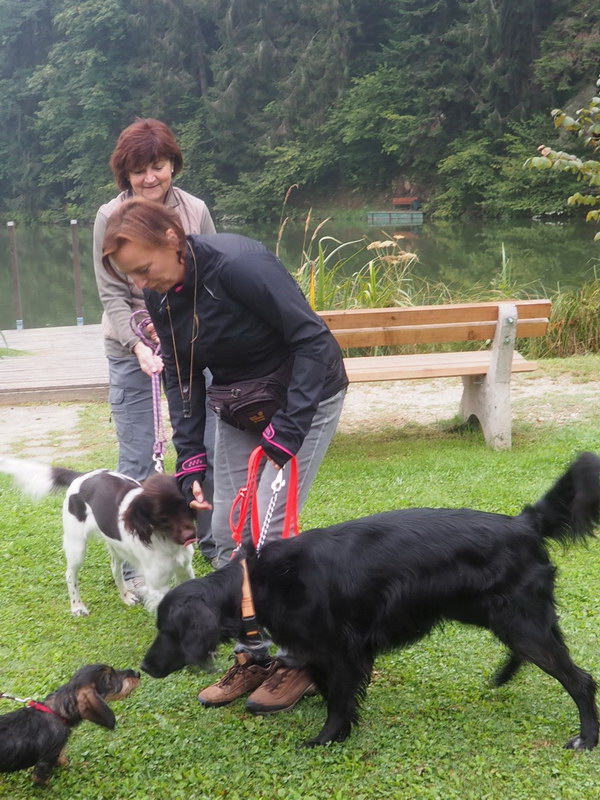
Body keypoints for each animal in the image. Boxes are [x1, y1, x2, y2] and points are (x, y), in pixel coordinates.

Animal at [0, 458, 197, 615]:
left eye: (184, 506)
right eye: (161, 516)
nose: (191, 536)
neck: (167, 542)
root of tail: (81, 476)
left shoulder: (185, 570)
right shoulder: (157, 586)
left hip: (116, 548)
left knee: (115, 569)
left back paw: (125, 596)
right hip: (76, 546)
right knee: (70, 574)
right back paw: (77, 606)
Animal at [0, 664, 140, 784]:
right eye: (109, 678)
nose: (137, 673)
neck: (56, 712)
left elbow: (62, 758)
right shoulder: (46, 760)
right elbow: (41, 778)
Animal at [142, 452, 600, 749]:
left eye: (169, 631)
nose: (144, 667)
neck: (257, 582)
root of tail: (524, 523)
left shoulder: (343, 651)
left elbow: (340, 701)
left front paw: (327, 738)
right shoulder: (320, 650)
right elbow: (329, 689)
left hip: (521, 623)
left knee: (581, 680)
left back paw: (587, 737)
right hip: (499, 615)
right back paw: (505, 676)